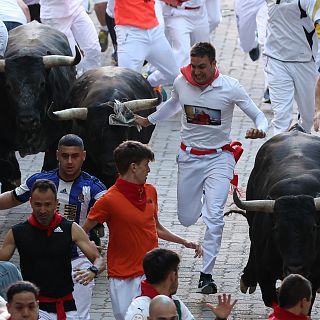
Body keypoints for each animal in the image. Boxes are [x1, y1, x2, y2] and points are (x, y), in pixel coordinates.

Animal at [231, 127, 320, 310]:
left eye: (313, 228)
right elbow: (272, 299)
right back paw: (248, 279)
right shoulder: (265, 275)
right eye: (277, 228)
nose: (296, 267)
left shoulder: (314, 276)